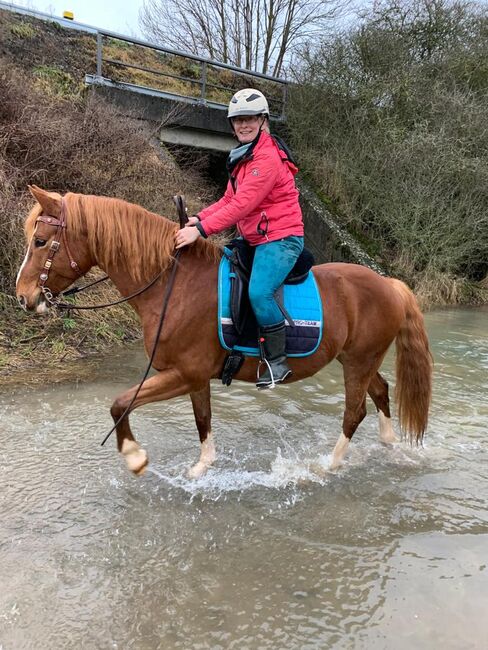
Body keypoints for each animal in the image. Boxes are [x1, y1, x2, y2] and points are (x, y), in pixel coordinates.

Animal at [15, 185, 432, 478]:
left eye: (40, 241)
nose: (22, 297)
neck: (173, 283)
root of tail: (388, 283)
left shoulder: (183, 373)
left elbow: (120, 403)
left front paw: (135, 457)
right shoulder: (194, 377)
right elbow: (203, 420)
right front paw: (202, 467)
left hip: (358, 362)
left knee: (354, 411)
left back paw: (329, 465)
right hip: (358, 360)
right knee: (380, 391)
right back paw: (388, 443)